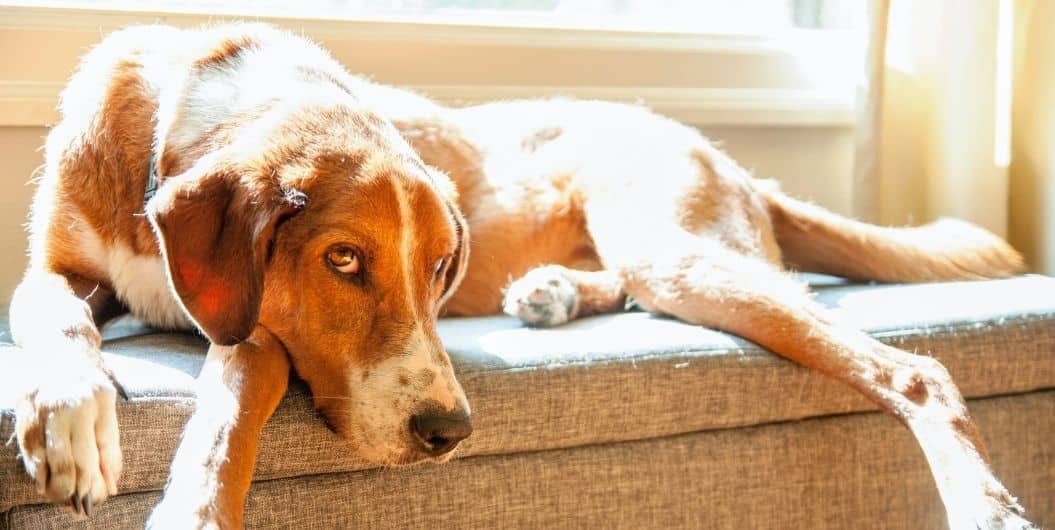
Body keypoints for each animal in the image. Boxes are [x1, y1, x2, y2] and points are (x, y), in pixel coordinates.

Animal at [6, 22, 1038, 527]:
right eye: (343, 260)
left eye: (437, 269)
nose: (449, 433)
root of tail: (726, 156)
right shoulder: (55, 265)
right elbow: (54, 314)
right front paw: (69, 412)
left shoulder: (253, 328)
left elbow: (232, 405)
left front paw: (193, 505)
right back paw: (549, 292)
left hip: (674, 248)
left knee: (917, 370)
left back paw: (986, 507)